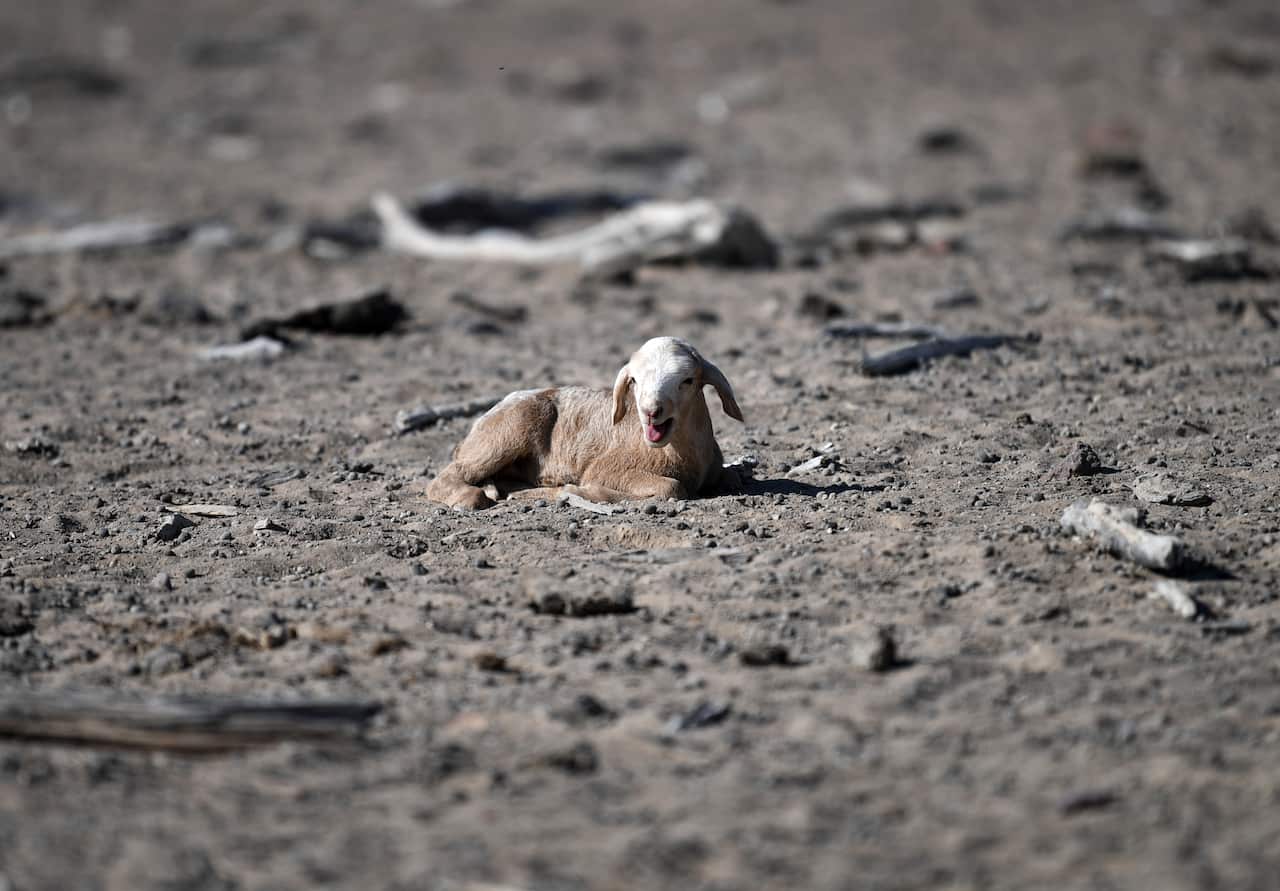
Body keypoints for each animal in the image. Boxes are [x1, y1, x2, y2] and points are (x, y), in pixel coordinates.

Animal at [425, 337, 745, 510]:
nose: (651, 411)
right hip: (508, 432)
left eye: (687, 380)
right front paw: (581, 492)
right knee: (446, 476)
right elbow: (671, 488)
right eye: (634, 381)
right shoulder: (607, 468)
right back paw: (470, 496)